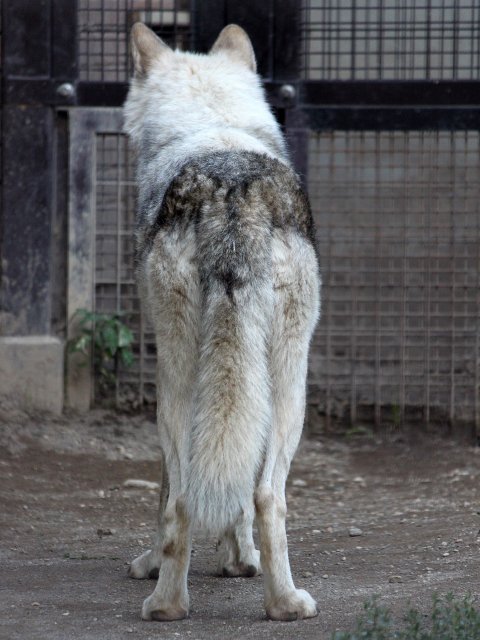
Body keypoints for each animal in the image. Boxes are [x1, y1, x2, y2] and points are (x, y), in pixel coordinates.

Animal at [123, 23, 318, 620]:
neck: (212, 127)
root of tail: (233, 197)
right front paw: (239, 559)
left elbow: (176, 493)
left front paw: (232, 560)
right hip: (285, 389)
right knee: (262, 495)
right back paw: (283, 604)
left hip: (186, 383)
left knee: (190, 495)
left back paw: (171, 604)